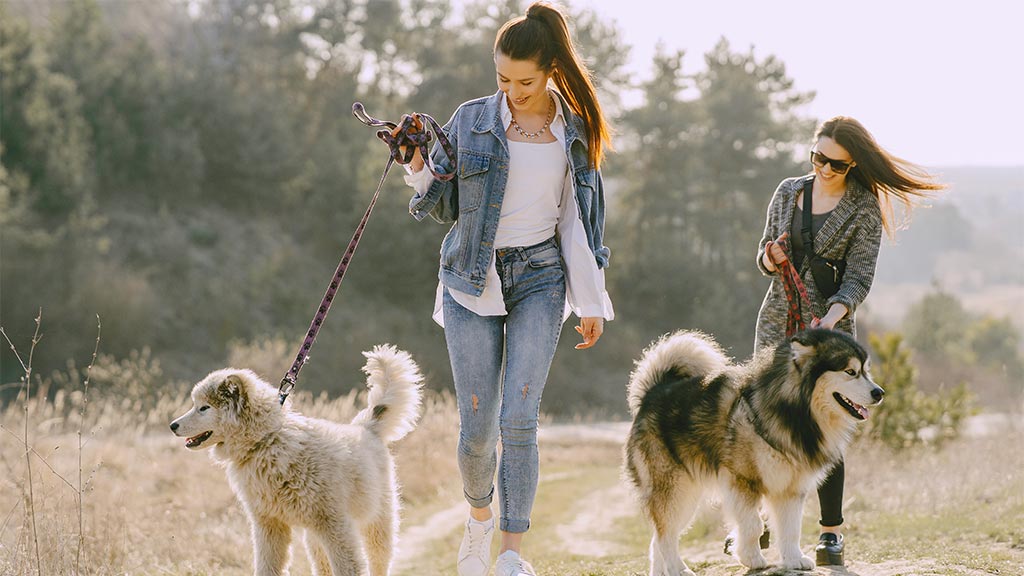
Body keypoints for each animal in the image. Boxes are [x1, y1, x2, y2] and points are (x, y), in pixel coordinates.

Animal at [172, 342, 423, 573]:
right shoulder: (269, 525)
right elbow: (266, 568)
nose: (172, 425)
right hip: (314, 538)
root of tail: (366, 426)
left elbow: (348, 567)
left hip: (376, 526)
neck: (266, 442)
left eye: (204, 408)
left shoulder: (336, 526)